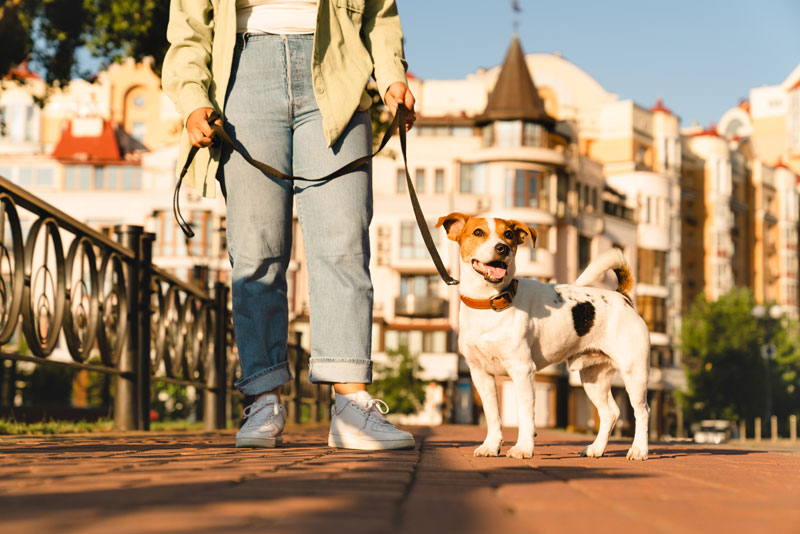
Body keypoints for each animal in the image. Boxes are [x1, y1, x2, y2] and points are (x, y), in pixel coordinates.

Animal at [438, 213, 648, 460]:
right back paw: (596, 448)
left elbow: (526, 415)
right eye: (478, 232)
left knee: (642, 412)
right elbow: (492, 415)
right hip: (593, 378)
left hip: (634, 373)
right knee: (610, 412)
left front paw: (523, 448)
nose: (502, 248)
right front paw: (491, 446)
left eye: (508, 234)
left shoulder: (522, 370)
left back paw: (639, 449)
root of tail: (622, 297)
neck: (489, 303)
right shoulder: (480, 374)